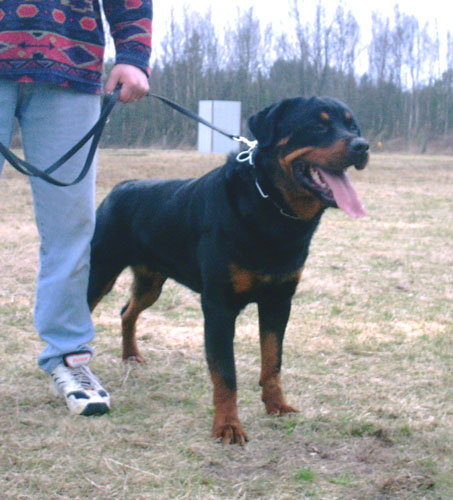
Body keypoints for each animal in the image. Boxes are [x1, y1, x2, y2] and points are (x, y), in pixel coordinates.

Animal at [88, 96, 369, 445]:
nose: (362, 145)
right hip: (100, 271)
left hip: (151, 281)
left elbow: (273, 361)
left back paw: (130, 356)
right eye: (318, 125)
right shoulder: (219, 306)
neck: (272, 209)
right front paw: (227, 426)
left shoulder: (279, 301)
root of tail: (121, 188)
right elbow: (226, 374)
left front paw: (276, 405)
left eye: (353, 126)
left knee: (128, 311)